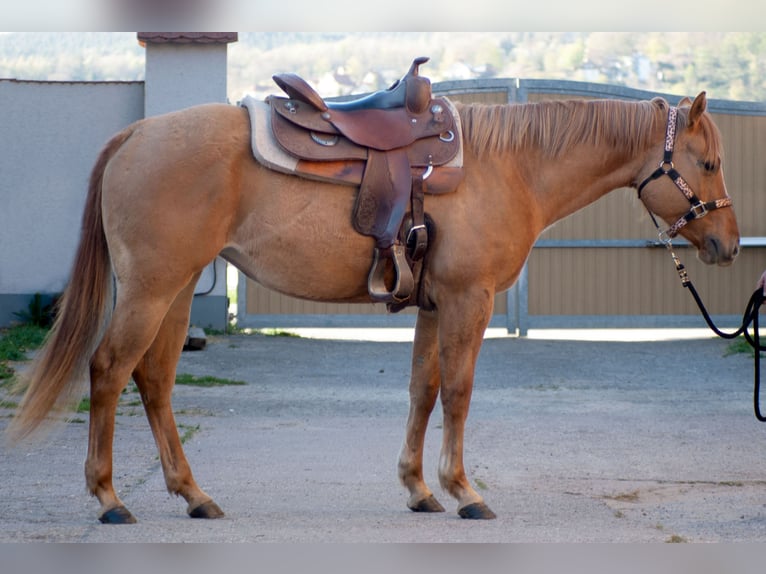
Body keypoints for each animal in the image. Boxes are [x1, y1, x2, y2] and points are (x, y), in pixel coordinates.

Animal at [6, 90, 739, 524]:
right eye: (706, 162)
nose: (729, 244)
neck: (508, 165)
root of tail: (134, 135)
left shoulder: (435, 306)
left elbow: (424, 390)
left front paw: (418, 488)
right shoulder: (468, 301)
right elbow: (459, 392)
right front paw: (463, 490)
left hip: (178, 290)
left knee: (154, 379)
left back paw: (194, 494)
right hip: (153, 288)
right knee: (109, 370)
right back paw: (108, 497)